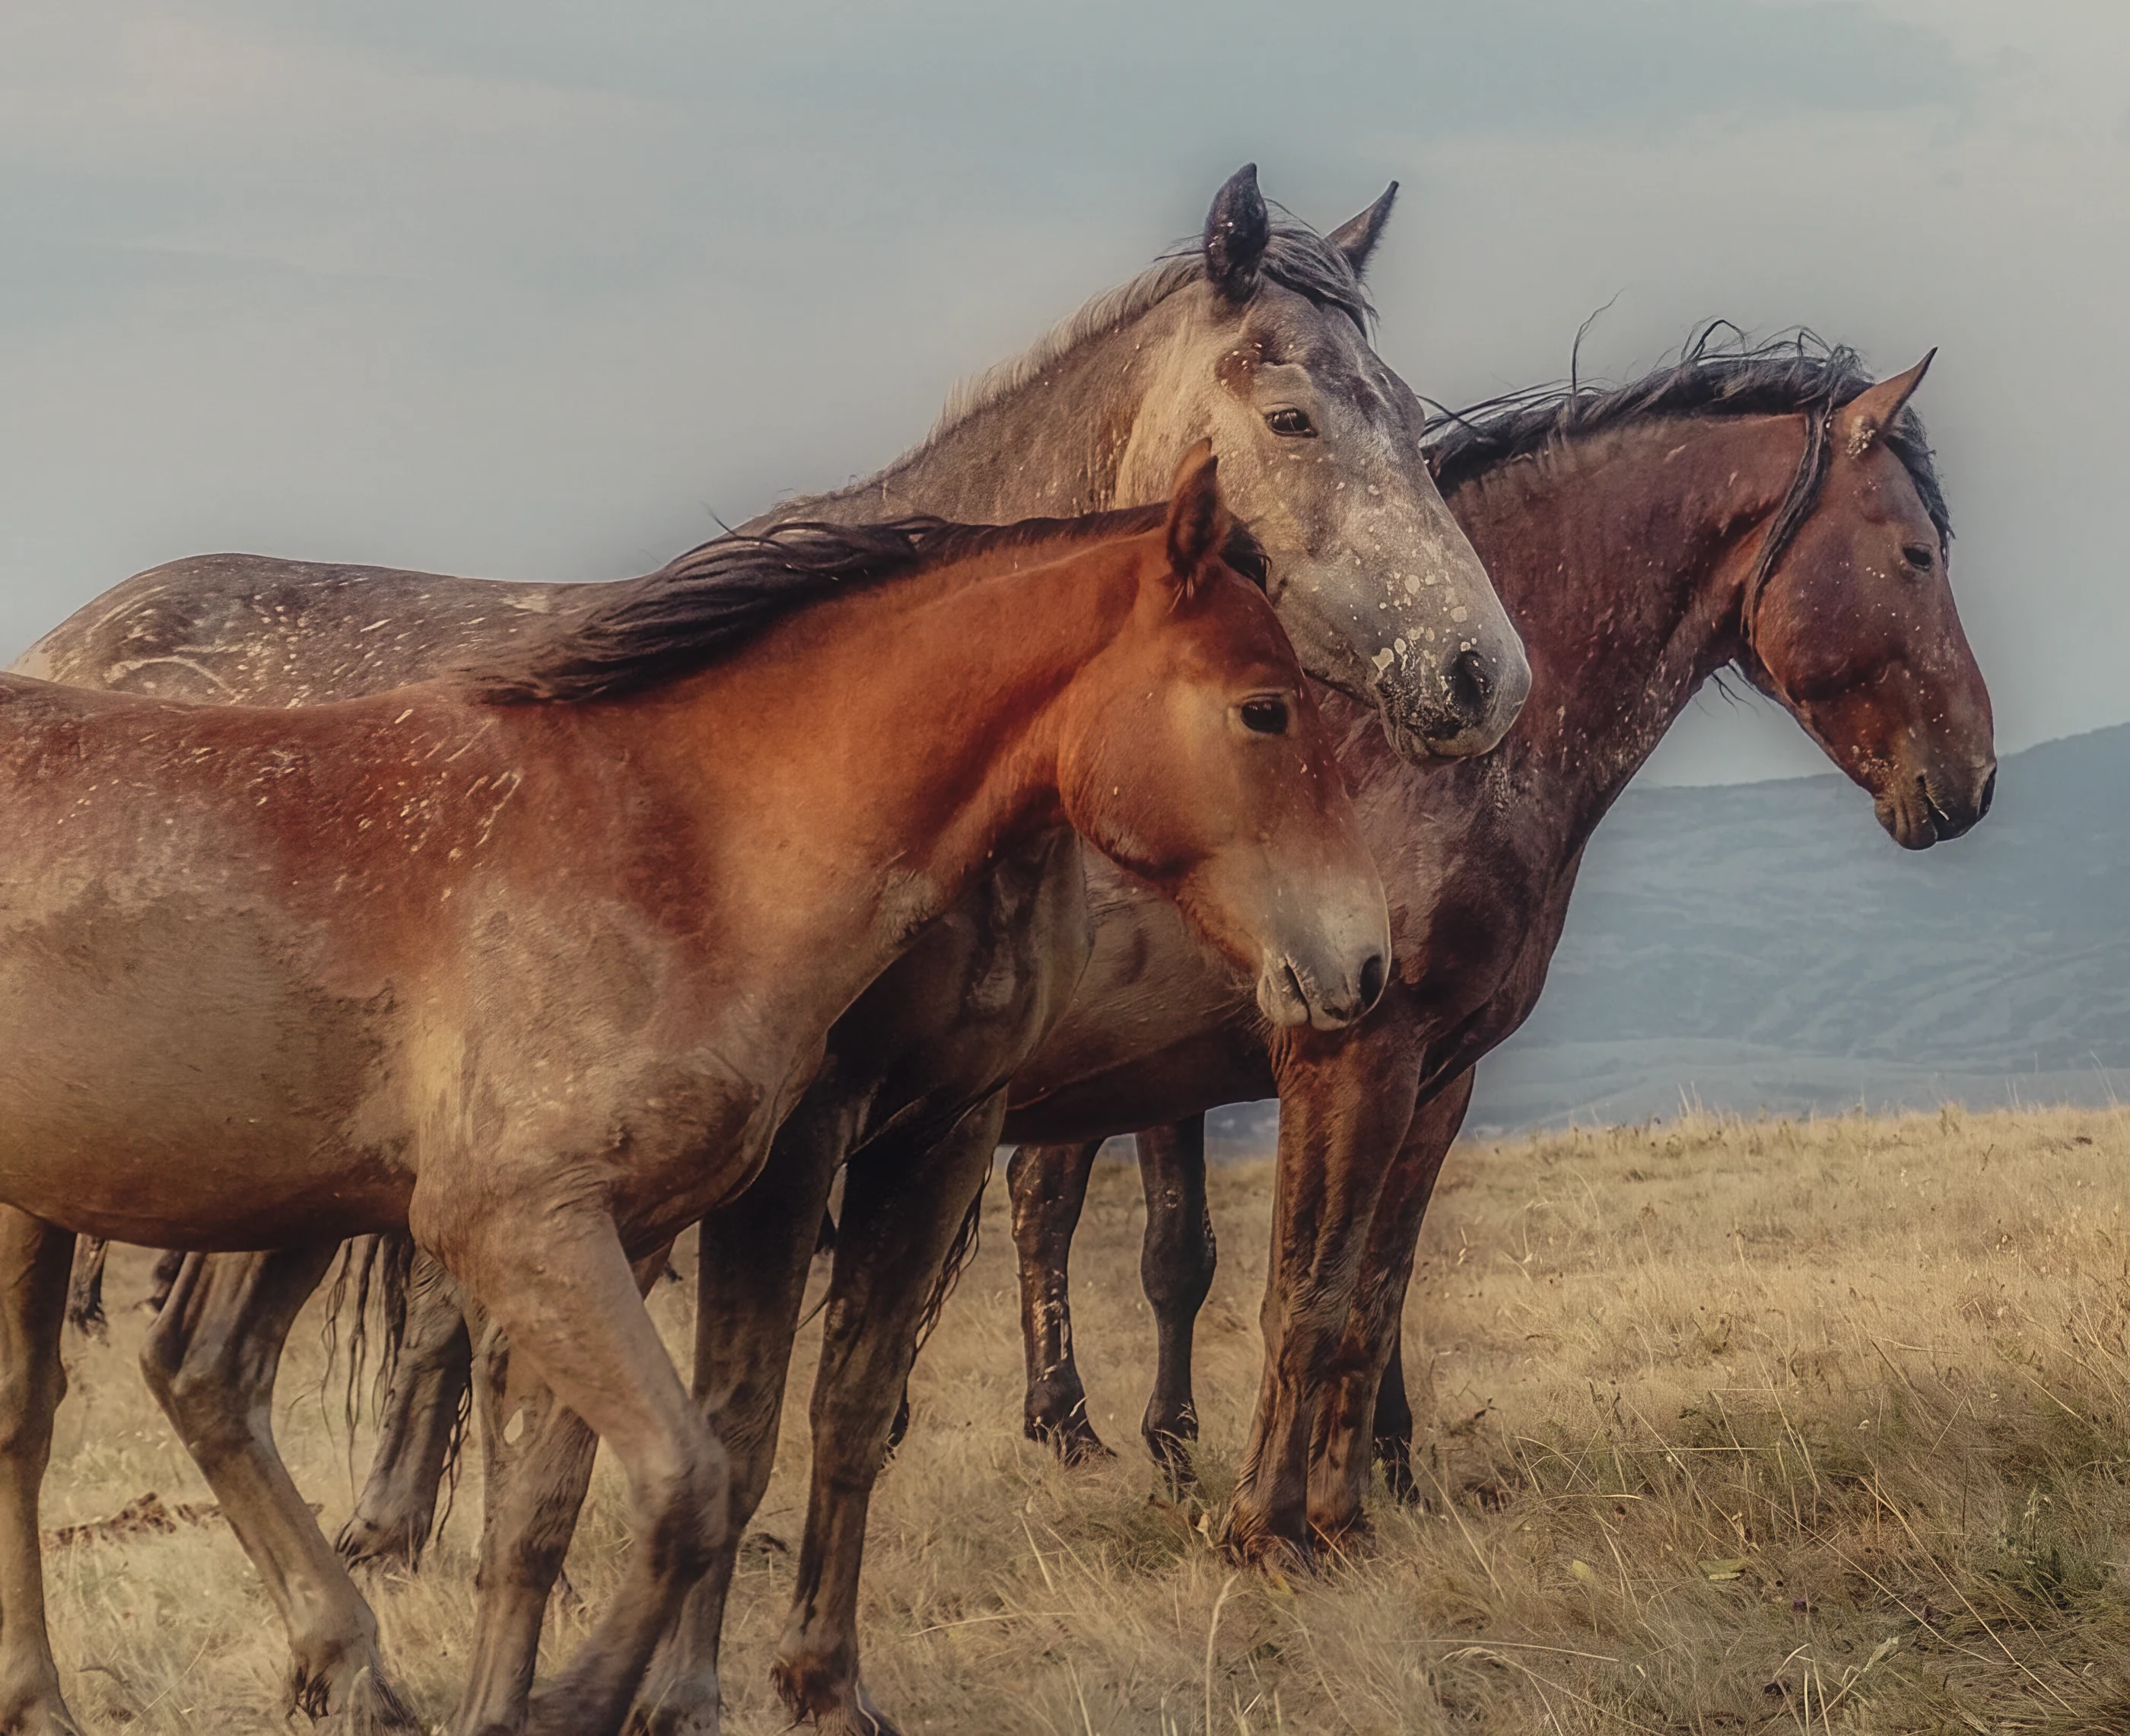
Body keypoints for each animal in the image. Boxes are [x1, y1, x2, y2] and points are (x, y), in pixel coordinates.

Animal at [28, 169, 1508, 1734]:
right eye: (1292, 415)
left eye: (1404, 406)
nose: (1481, 673)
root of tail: (77, 641)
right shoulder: (798, 1137)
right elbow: (735, 1415)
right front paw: (680, 1691)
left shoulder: (946, 1122)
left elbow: (848, 1404)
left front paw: (822, 1678)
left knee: (206, 1363)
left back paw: (344, 1662)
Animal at [1002, 331, 1997, 1562]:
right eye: (1915, 552)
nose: (1974, 775)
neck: (1413, 748)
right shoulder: (1345, 1059)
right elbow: (1304, 1295)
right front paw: (1264, 1529)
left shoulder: (1437, 1074)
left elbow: (1371, 1297)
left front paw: (1343, 1516)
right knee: (1048, 1204)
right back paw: (1071, 1432)